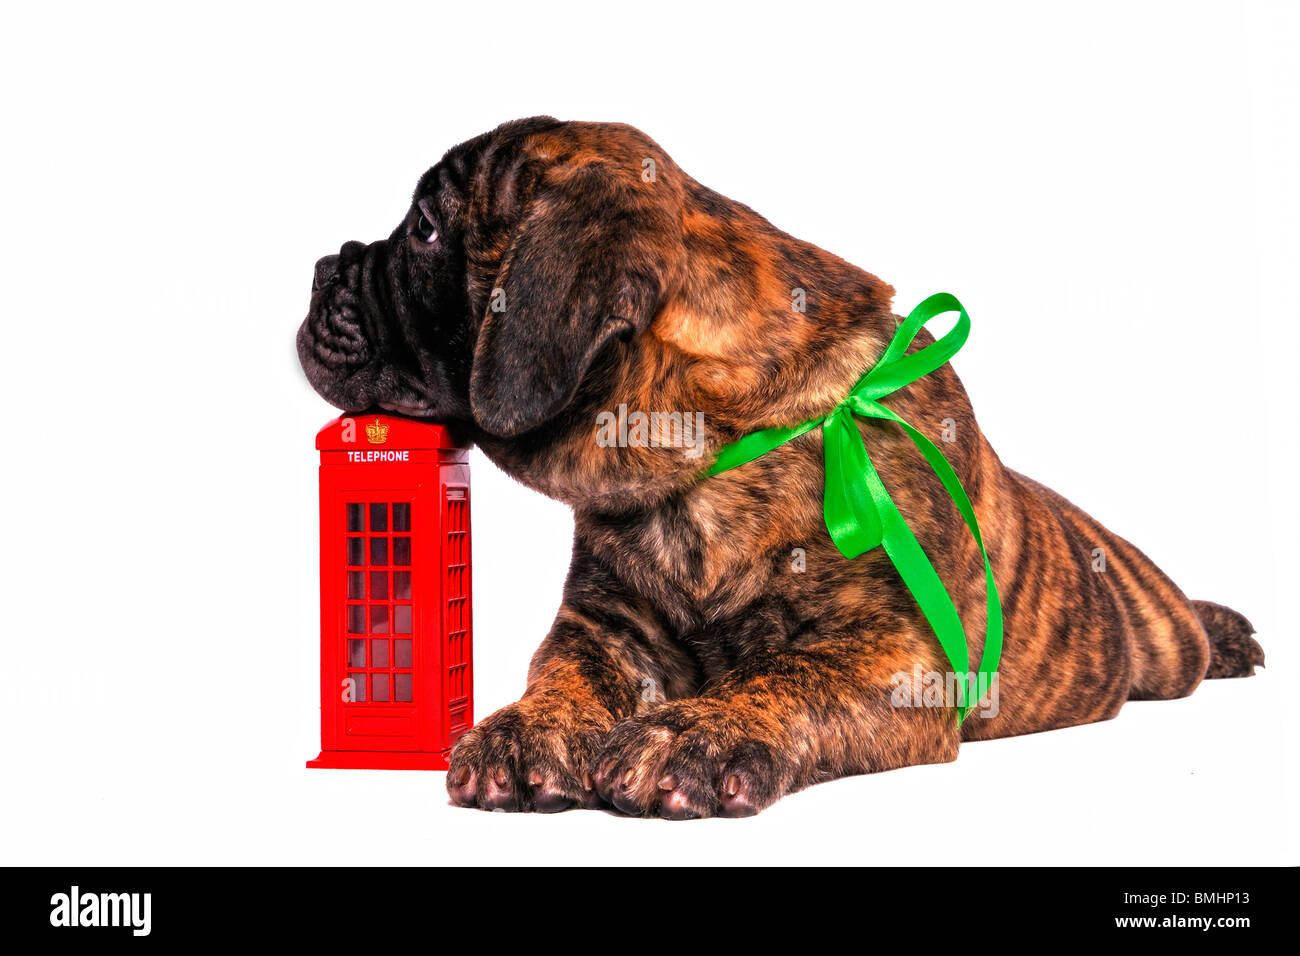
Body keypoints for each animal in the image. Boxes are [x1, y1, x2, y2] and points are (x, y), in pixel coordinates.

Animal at [299, 115, 1263, 816]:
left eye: (426, 230)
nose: (321, 267)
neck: (705, 453)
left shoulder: (900, 654)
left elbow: (793, 674)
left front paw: (696, 733)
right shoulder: (602, 626)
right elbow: (562, 671)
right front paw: (524, 728)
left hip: (1155, 634)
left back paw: (1223, 631)